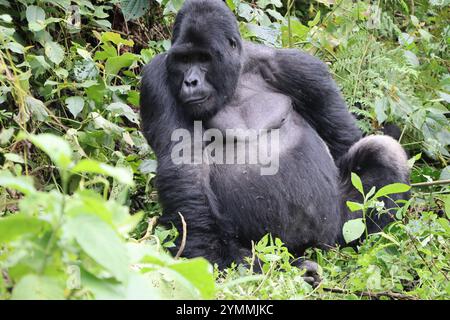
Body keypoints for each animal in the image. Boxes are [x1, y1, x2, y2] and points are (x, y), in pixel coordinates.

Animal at [139, 0, 410, 270]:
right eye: (184, 60)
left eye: (203, 58)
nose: (190, 82)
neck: (236, 76)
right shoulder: (156, 79)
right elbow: (186, 170)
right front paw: (222, 258)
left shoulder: (302, 68)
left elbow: (343, 139)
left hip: (338, 232)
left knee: (383, 151)